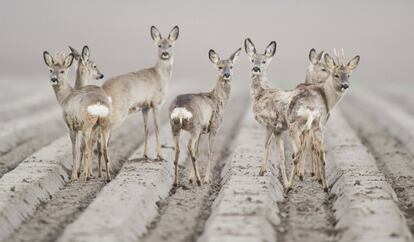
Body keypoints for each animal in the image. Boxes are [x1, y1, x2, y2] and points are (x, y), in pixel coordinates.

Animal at [102, 25, 179, 160]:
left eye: (170, 45)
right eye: (159, 45)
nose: (165, 53)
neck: (160, 76)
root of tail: (103, 88)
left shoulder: (145, 107)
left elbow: (146, 130)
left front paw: (145, 155)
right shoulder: (156, 103)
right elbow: (157, 129)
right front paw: (160, 156)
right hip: (119, 110)